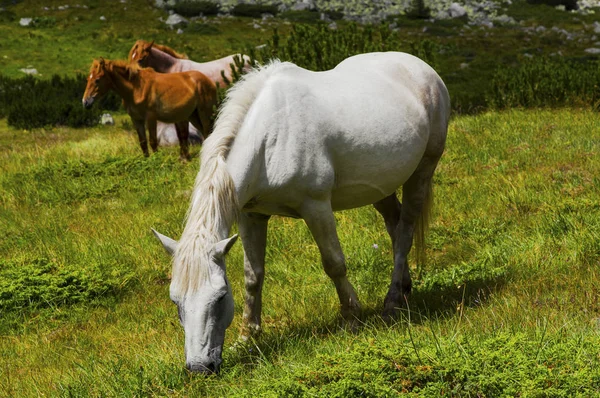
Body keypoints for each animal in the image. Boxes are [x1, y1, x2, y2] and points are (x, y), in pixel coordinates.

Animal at [82, 58, 217, 159]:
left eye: (97, 80)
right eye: (88, 79)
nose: (85, 102)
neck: (136, 89)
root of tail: (209, 81)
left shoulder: (151, 118)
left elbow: (152, 140)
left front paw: (157, 159)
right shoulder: (136, 119)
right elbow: (143, 141)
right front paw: (146, 160)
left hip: (204, 113)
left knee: (207, 131)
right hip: (193, 115)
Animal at [152, 52, 448, 374]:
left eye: (219, 297)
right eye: (175, 300)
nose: (199, 367)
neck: (268, 139)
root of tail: (422, 67)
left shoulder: (315, 206)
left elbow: (334, 264)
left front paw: (352, 319)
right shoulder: (250, 216)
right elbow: (253, 275)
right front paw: (247, 336)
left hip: (423, 171)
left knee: (405, 231)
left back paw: (392, 302)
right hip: (382, 186)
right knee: (394, 225)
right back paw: (404, 288)